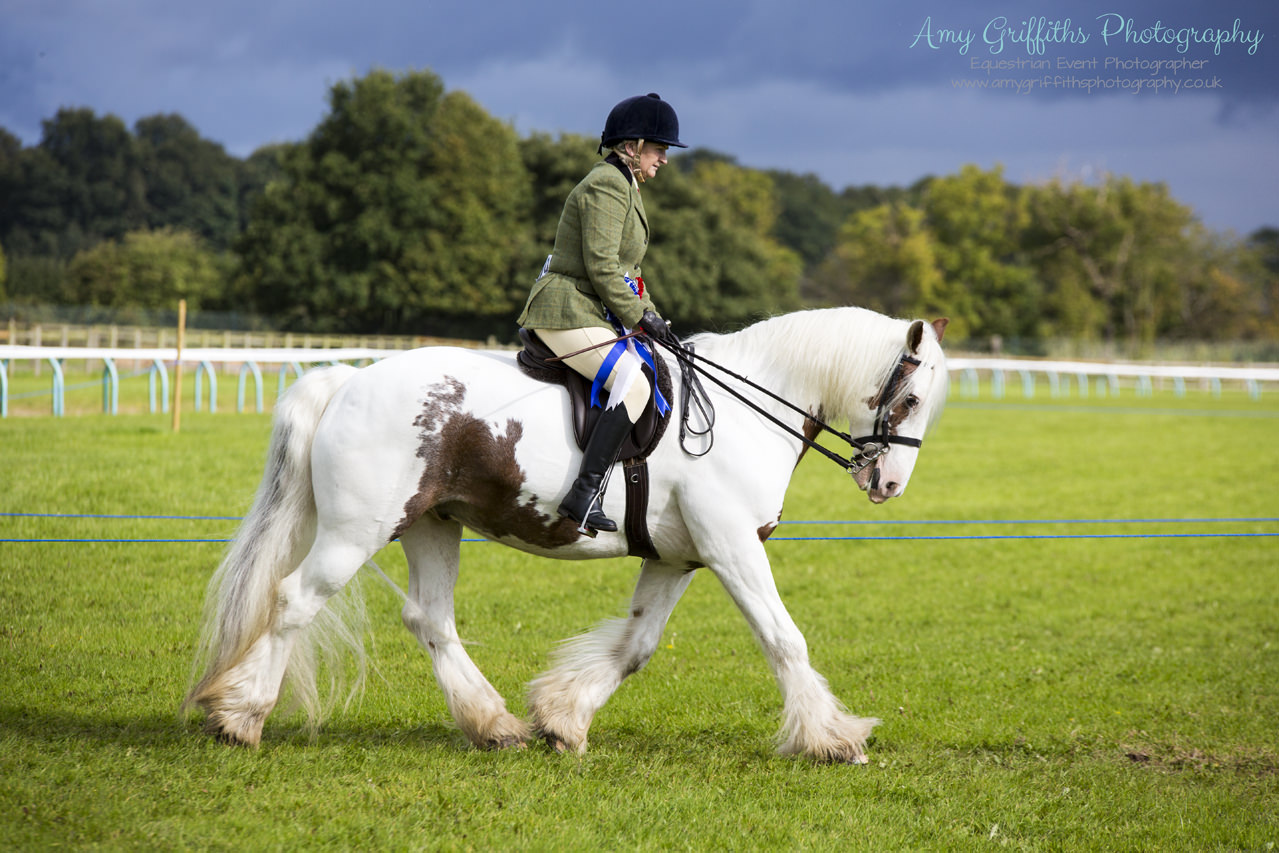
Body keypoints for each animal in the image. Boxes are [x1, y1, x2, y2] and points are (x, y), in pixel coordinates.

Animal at [186, 308, 951, 767]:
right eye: (910, 399)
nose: (888, 484)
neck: (745, 408)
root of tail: (347, 382)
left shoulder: (678, 558)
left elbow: (635, 647)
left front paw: (562, 718)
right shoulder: (732, 546)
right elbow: (784, 638)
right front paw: (832, 738)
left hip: (432, 524)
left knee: (429, 618)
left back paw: (493, 724)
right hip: (358, 529)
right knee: (294, 600)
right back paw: (241, 716)